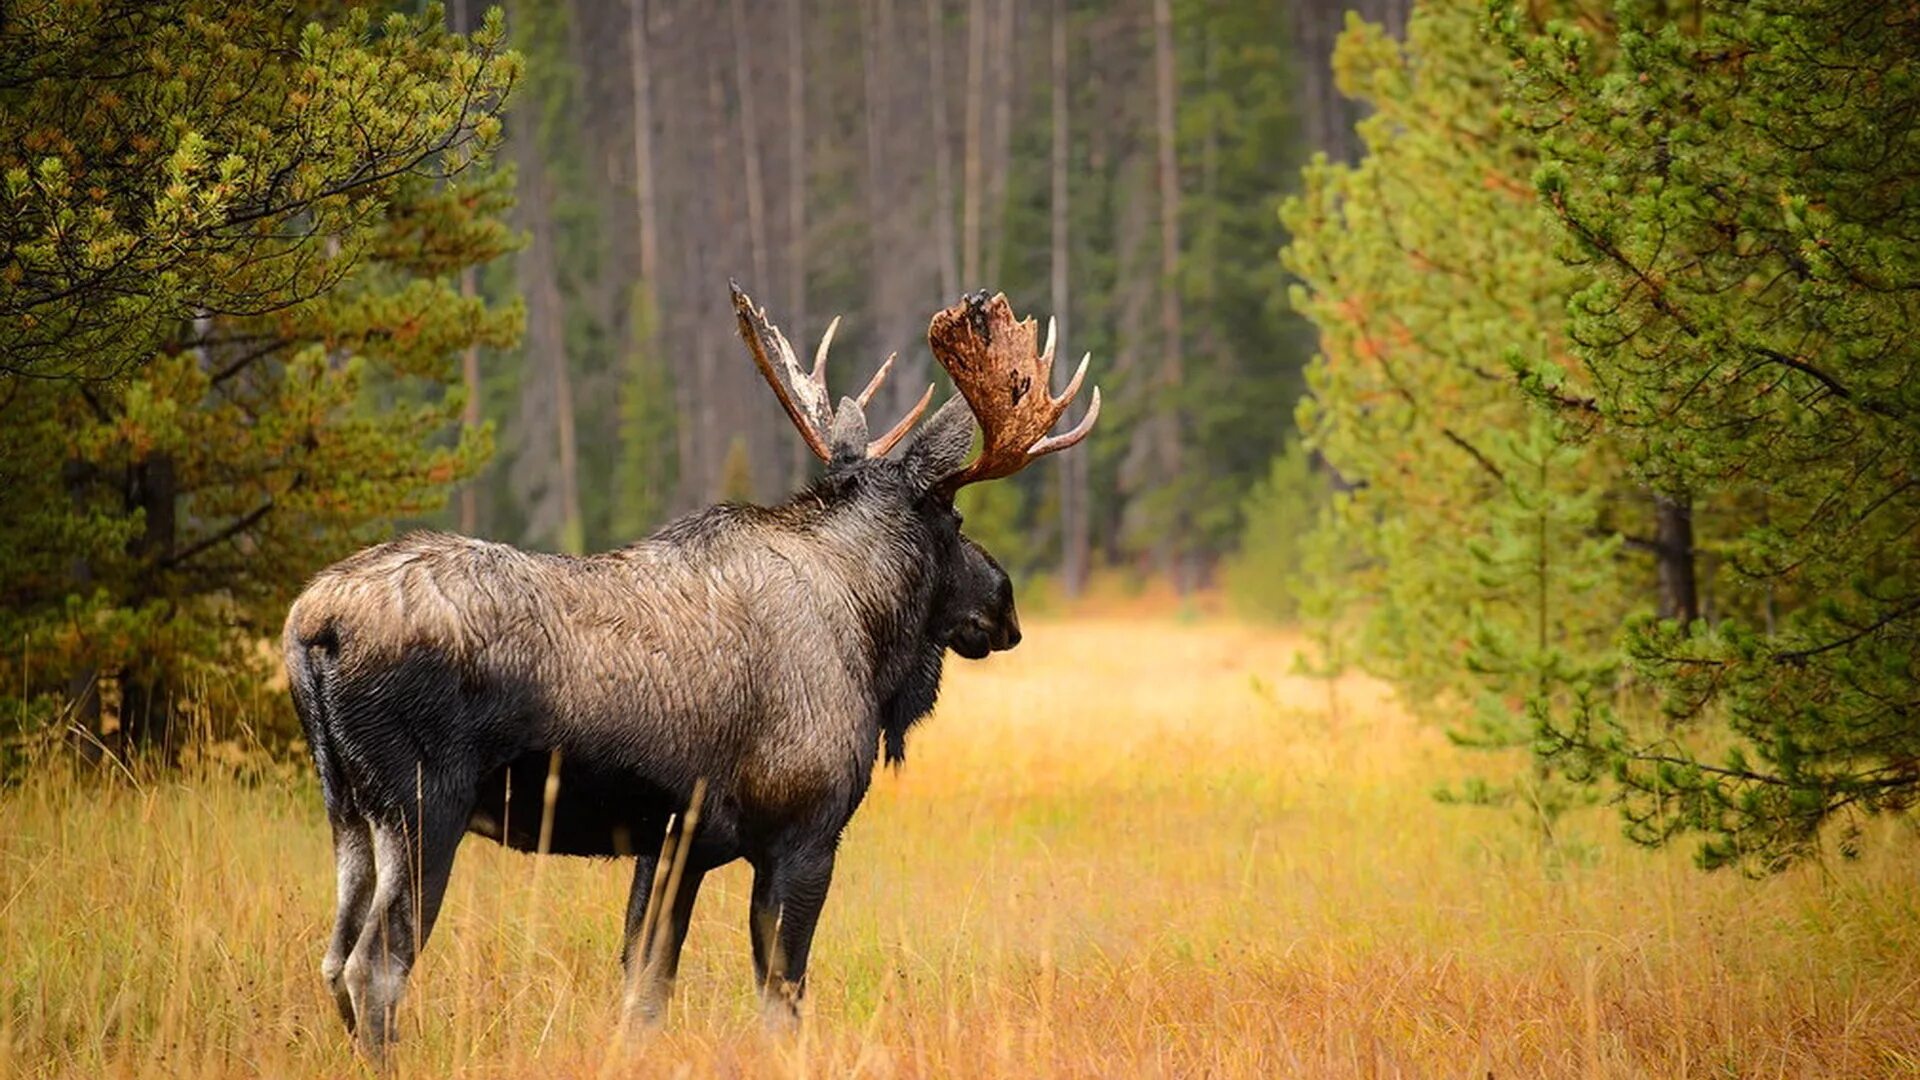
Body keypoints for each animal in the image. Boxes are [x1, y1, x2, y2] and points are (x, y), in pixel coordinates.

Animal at [278, 286, 1105, 1053]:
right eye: (955, 521)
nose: (1005, 604)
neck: (869, 630)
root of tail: (312, 627)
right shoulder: (804, 833)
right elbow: (782, 995)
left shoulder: (674, 844)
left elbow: (645, 990)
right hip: (424, 806)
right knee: (375, 968)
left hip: (348, 810)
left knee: (333, 959)